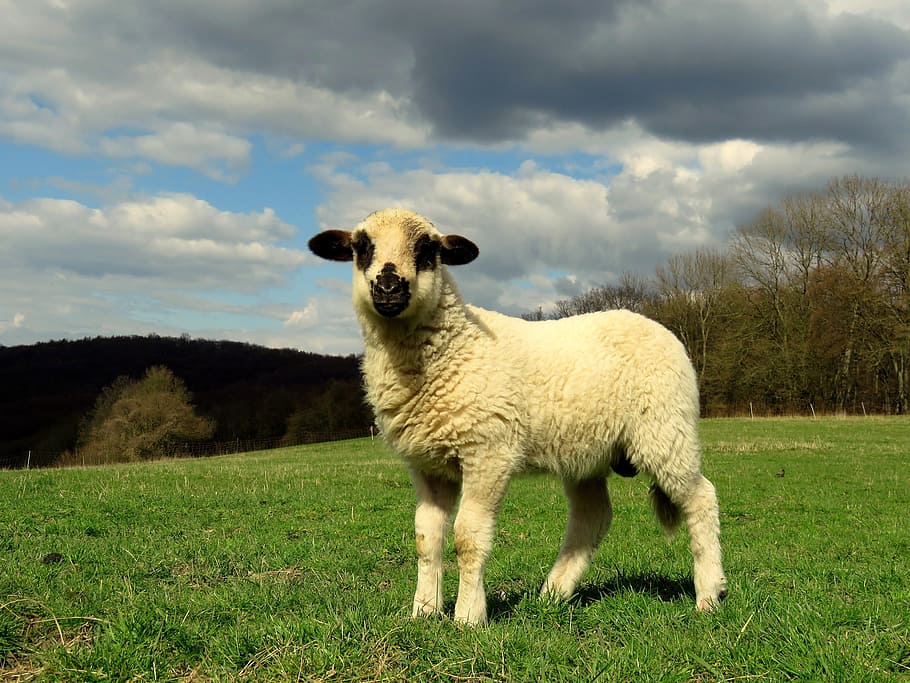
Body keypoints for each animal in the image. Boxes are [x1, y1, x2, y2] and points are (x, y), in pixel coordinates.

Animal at [308, 208, 727, 625]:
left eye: (428, 250)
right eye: (361, 247)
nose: (389, 287)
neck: (452, 346)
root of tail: (658, 328)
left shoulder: (488, 452)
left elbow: (468, 536)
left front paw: (468, 616)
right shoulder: (428, 465)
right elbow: (426, 538)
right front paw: (424, 612)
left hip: (664, 430)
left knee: (700, 498)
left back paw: (709, 593)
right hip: (587, 453)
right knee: (593, 516)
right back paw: (552, 594)